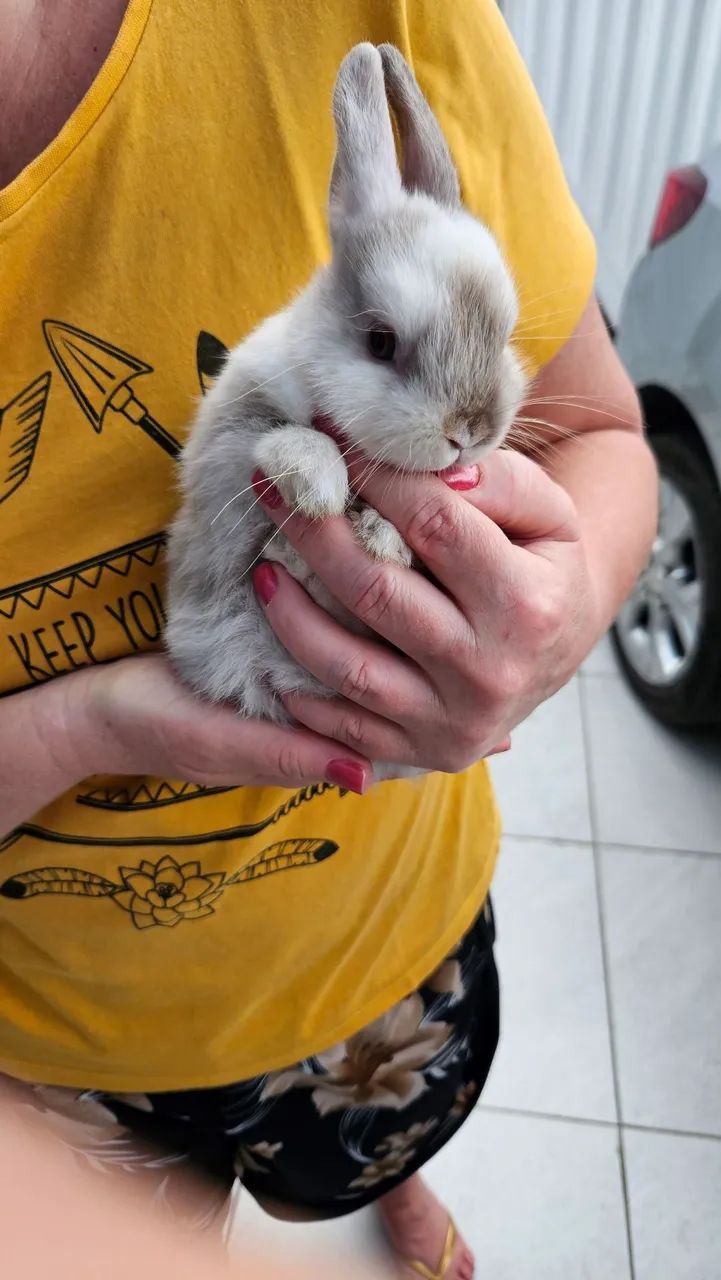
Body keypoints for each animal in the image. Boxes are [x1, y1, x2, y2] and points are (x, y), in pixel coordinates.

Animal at [165, 42, 527, 779]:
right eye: (381, 342)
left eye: (502, 334)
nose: (469, 433)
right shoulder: (230, 438)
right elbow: (279, 436)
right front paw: (321, 487)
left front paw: (384, 538)